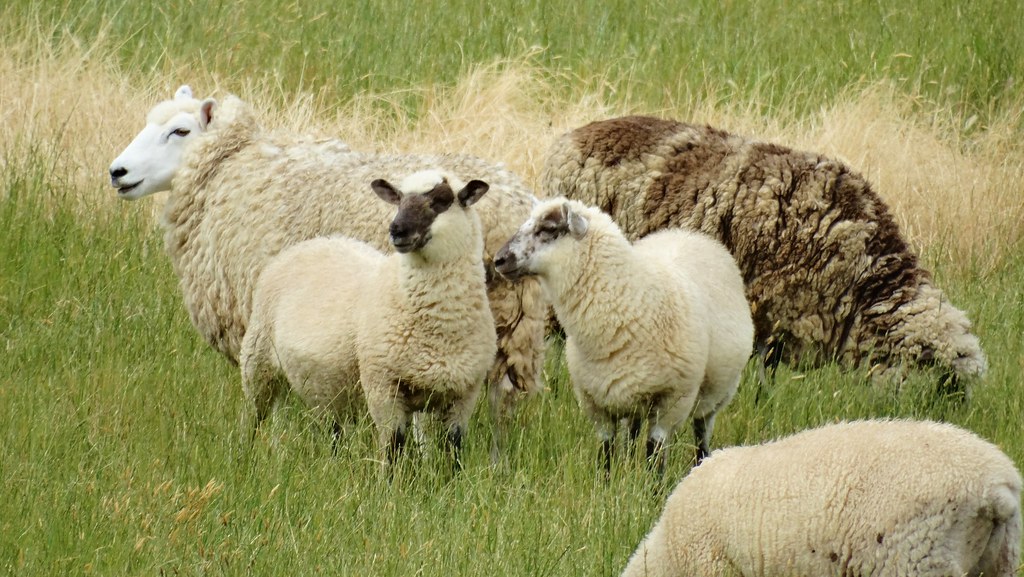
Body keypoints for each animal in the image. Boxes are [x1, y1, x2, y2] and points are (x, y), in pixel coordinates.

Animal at [241, 170, 496, 468]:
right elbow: (394, 448)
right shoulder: (382, 387)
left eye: (442, 200)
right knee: (254, 417)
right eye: (398, 199)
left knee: (330, 430)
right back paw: (245, 458)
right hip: (257, 362)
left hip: (329, 386)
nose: (397, 230)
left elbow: (453, 452)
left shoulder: (464, 396)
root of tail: (317, 241)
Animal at [494, 197, 754, 474]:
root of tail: (688, 234)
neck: (628, 299)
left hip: (716, 394)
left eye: (548, 229)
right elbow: (606, 454)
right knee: (632, 434)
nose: (499, 260)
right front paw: (608, 482)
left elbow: (655, 457)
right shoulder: (595, 402)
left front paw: (651, 486)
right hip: (632, 397)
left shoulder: (672, 400)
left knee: (701, 435)